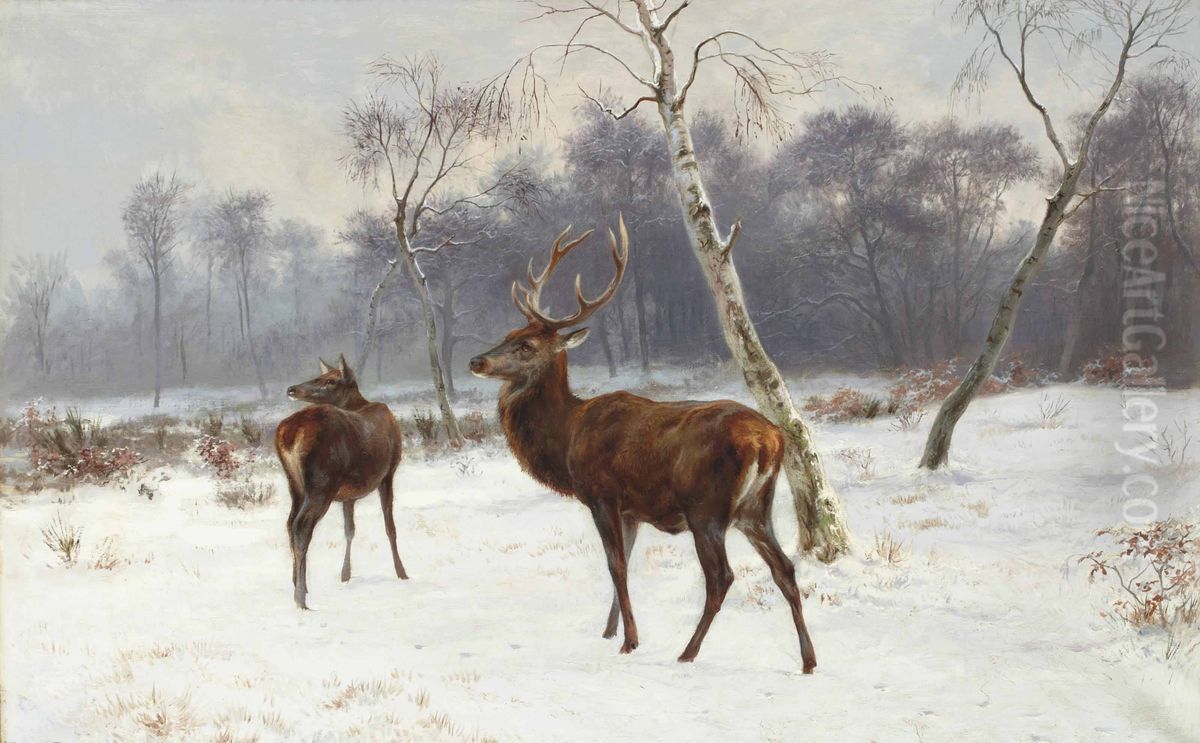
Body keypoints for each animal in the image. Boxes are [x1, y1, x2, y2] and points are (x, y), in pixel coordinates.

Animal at [275, 354, 406, 610]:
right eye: (323, 376)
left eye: (330, 380)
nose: (292, 389)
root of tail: (289, 435)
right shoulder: (389, 473)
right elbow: (390, 527)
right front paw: (402, 573)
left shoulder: (349, 495)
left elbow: (349, 529)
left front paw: (345, 575)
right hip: (322, 483)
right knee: (301, 525)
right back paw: (301, 598)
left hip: (295, 484)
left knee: (289, 522)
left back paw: (297, 584)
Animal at [469, 218, 817, 672]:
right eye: (509, 333)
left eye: (527, 345)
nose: (476, 361)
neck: (567, 436)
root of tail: (769, 438)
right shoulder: (632, 509)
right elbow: (627, 563)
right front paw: (609, 630)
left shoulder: (602, 494)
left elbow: (615, 565)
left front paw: (630, 641)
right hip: (755, 508)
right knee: (786, 569)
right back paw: (809, 660)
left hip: (706, 507)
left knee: (722, 577)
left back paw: (687, 652)